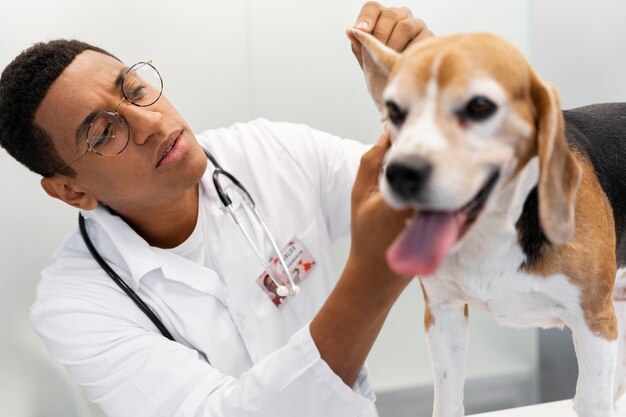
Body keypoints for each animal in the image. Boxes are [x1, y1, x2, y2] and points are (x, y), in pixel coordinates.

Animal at [348, 29, 624, 416]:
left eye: (479, 106)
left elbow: (590, 399)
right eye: (395, 111)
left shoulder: (593, 322)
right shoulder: (444, 312)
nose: (401, 173)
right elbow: (447, 401)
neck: (494, 229)